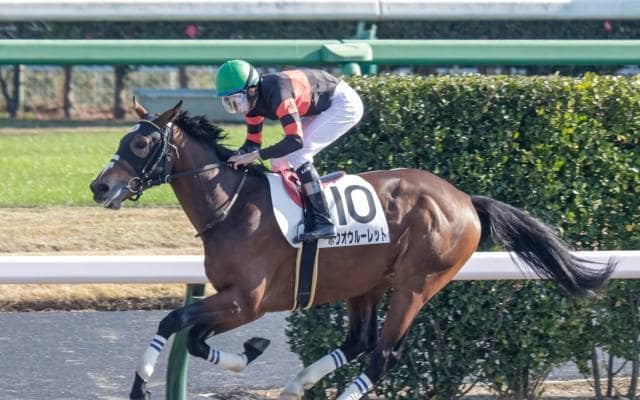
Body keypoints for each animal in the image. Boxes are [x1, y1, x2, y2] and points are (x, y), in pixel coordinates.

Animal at [89, 100, 615, 400]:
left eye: (141, 144)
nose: (99, 187)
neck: (233, 207)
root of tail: (466, 200)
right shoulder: (231, 300)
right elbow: (194, 338)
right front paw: (252, 351)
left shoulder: (248, 301)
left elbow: (173, 321)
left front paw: (140, 385)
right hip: (367, 283)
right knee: (360, 341)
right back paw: (298, 383)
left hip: (416, 286)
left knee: (383, 356)